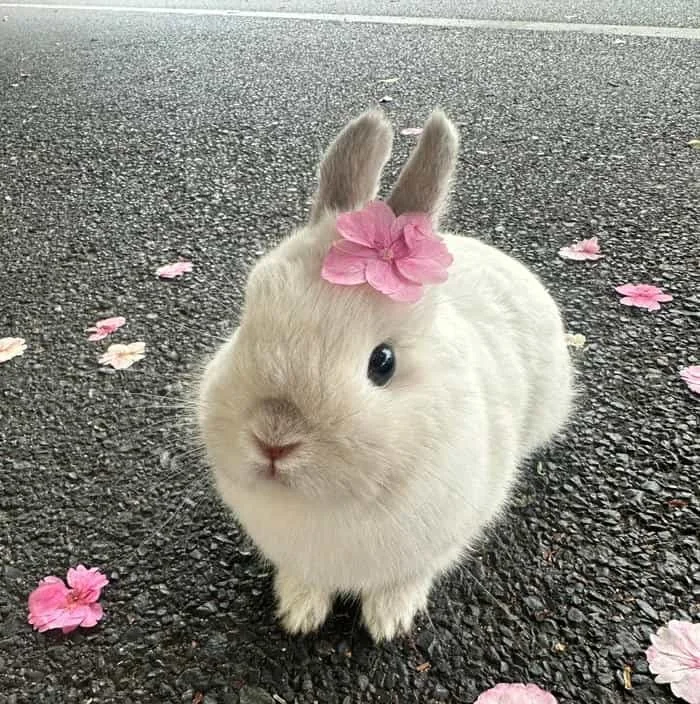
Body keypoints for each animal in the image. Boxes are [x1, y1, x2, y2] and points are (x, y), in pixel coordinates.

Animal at [196, 108, 574, 642]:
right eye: (248, 316)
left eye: (383, 362)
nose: (273, 438)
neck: (330, 506)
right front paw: (299, 612)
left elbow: (404, 579)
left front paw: (389, 621)